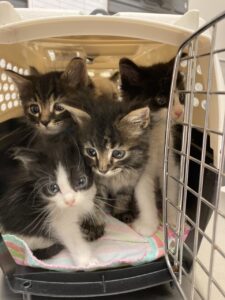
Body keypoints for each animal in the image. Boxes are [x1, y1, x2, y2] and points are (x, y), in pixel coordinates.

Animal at [0, 134, 97, 264]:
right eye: (53, 188)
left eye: (81, 181)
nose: (70, 201)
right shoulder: (57, 219)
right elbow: (72, 236)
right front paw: (87, 261)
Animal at [62, 91, 151, 225]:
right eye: (91, 152)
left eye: (117, 154)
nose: (102, 170)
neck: (115, 176)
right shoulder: (96, 182)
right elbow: (97, 201)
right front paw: (94, 224)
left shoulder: (131, 179)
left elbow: (124, 196)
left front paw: (121, 212)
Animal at [118, 57, 184, 236]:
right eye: (161, 99)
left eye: (182, 97)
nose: (179, 111)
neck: (154, 133)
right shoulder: (138, 167)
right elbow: (144, 195)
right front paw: (148, 225)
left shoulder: (171, 162)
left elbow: (171, 191)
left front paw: (173, 221)